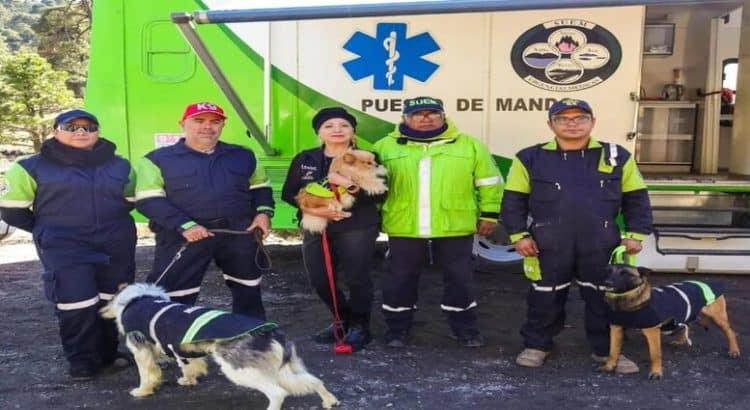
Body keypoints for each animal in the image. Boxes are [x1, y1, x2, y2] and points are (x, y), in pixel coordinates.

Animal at [98, 284, 340, 408]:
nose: (101, 312)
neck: (138, 299)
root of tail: (272, 331)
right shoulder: (183, 349)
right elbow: (188, 366)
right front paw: (189, 380)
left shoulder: (141, 351)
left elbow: (147, 374)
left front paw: (142, 391)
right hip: (282, 369)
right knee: (313, 381)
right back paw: (329, 401)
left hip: (240, 371)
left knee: (278, 393)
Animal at [600, 264, 740, 380]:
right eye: (609, 271)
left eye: (625, 273)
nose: (607, 283)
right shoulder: (616, 330)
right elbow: (613, 351)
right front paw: (609, 366)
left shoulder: (652, 332)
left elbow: (655, 355)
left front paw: (656, 372)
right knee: (686, 325)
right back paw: (680, 341)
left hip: (718, 317)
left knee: (730, 332)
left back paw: (734, 351)